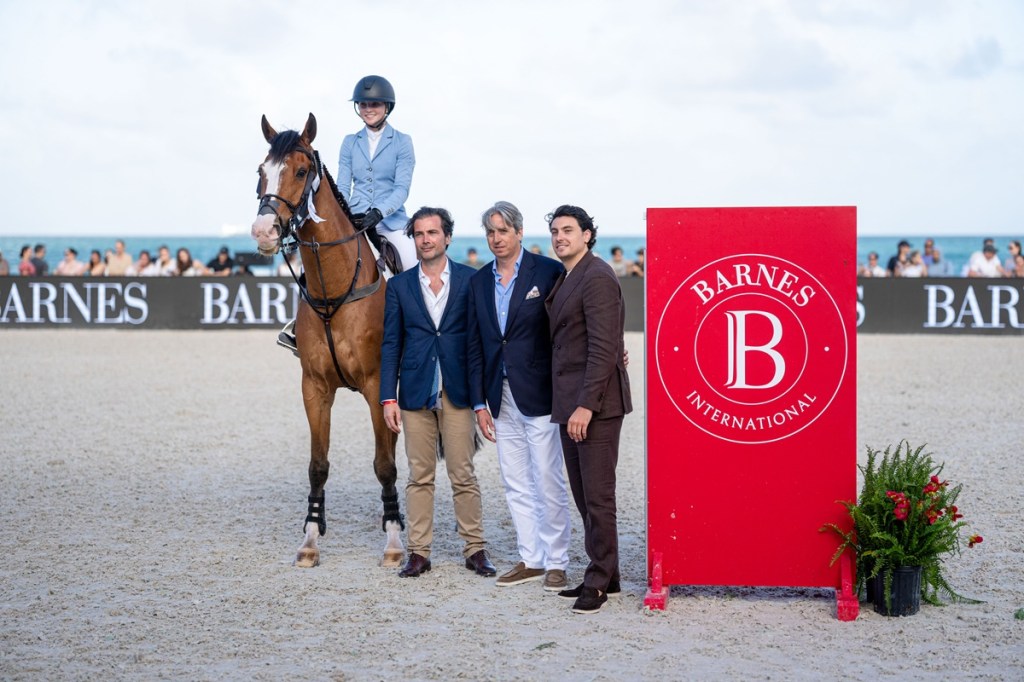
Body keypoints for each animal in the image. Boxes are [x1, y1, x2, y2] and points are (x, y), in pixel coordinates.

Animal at [250, 113, 404, 568]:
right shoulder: (314, 387)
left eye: (301, 171)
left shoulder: (375, 385)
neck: (335, 289)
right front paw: (310, 539)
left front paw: (394, 542)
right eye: (261, 171)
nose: (264, 231)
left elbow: (384, 464)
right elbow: (317, 465)